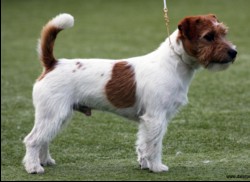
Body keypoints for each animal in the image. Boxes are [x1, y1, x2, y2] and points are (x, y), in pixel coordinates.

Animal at [23, 13, 236, 173]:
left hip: (59, 116)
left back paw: (45, 161)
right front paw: (157, 166)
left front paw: (144, 164)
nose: (233, 52)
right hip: (53, 114)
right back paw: (34, 167)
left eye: (224, 33)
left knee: (44, 139)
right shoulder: (156, 117)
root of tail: (52, 63)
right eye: (208, 36)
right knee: (33, 140)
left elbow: (144, 142)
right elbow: (154, 144)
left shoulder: (148, 119)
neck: (173, 63)